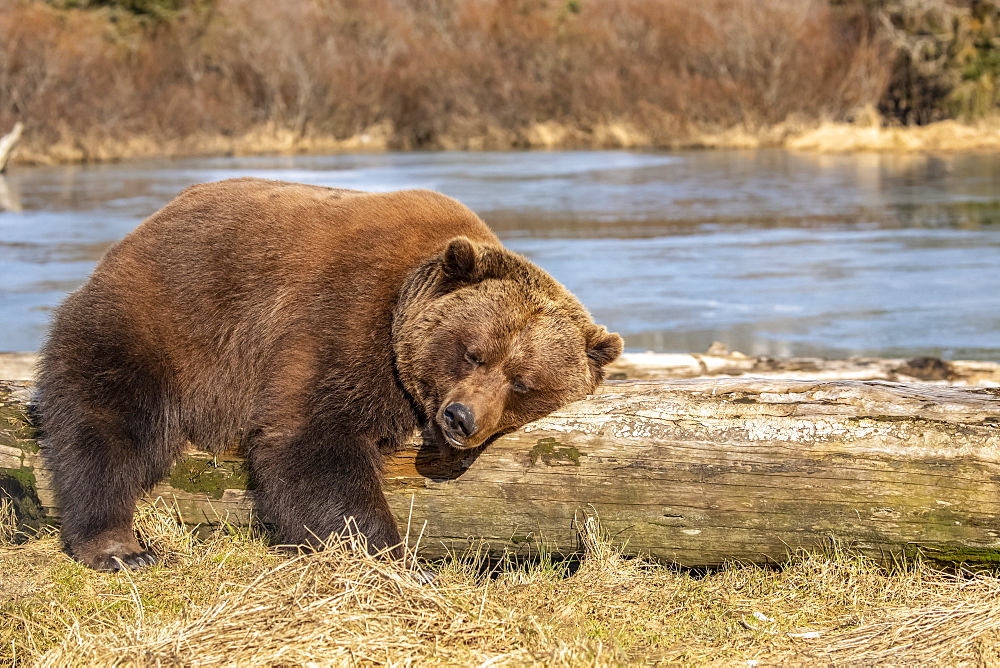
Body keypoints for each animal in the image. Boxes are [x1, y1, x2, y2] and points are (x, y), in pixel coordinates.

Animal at [39, 177, 620, 568]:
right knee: (107, 423)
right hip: (160, 323)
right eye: (473, 352)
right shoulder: (342, 318)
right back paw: (118, 545)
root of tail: (139, 230)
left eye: (523, 383)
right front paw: (393, 556)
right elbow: (312, 440)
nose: (461, 417)